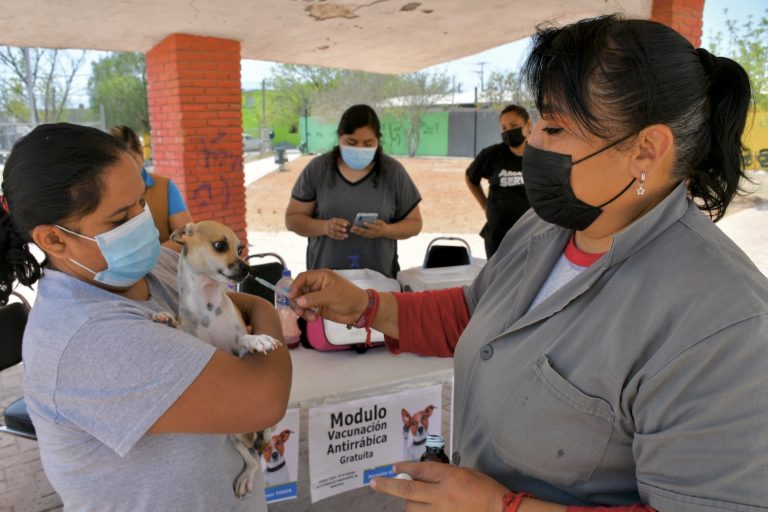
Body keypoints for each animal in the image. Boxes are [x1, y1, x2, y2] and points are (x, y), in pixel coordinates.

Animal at [162, 220, 282, 496]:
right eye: (220, 245)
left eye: (240, 248)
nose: (247, 268)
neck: (208, 306)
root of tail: (251, 435)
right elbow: (179, 327)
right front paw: (165, 318)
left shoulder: (239, 350)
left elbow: (244, 339)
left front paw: (257, 339)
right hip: (234, 437)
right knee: (252, 459)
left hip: (259, 432)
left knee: (261, 447)